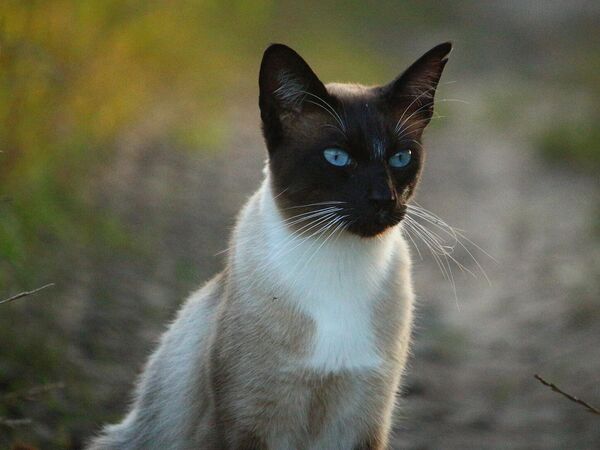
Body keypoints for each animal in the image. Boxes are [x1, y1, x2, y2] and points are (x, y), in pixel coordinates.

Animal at [88, 42, 450, 450]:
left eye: (400, 158)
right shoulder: (248, 423)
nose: (383, 199)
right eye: (337, 158)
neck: (338, 265)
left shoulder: (363, 424)